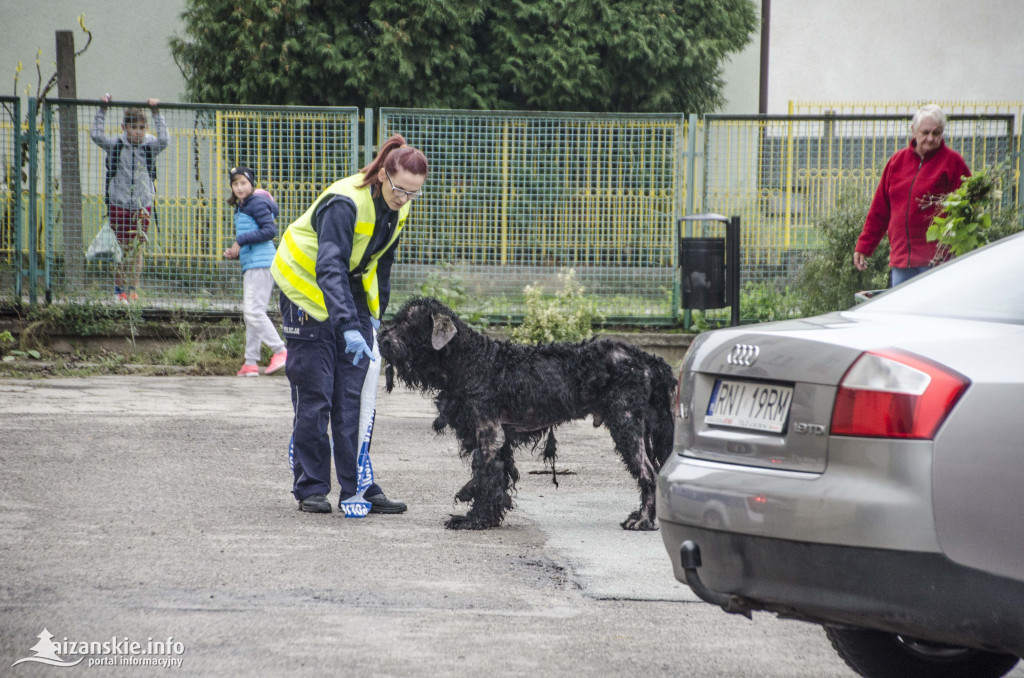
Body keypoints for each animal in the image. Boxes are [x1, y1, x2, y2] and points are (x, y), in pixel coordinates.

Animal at [380, 297, 675, 532]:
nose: (382, 340)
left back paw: (642, 520)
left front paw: (475, 520)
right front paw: (489, 516)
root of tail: (647, 359)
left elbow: (485, 476)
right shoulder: (500, 439)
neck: (471, 359)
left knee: (649, 474)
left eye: (407, 323)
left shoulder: (488, 433)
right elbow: (498, 477)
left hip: (627, 424)